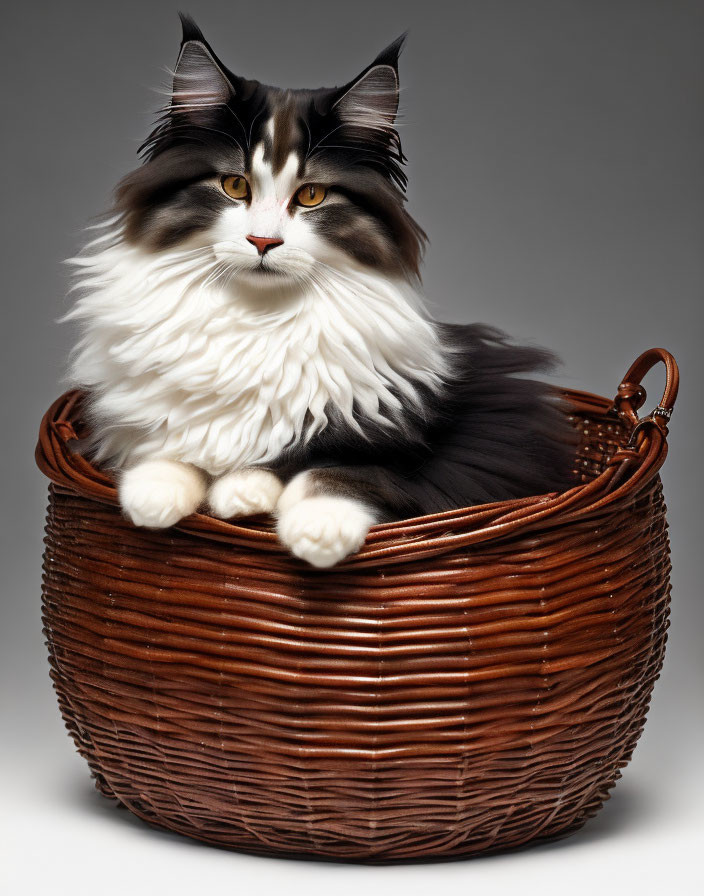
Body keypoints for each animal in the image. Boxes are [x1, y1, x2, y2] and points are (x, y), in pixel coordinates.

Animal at [66, 14, 576, 568]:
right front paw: (154, 496)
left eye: (311, 195)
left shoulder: (424, 444)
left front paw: (314, 528)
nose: (263, 241)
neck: (258, 319)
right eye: (235, 186)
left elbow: (331, 471)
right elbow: (170, 445)